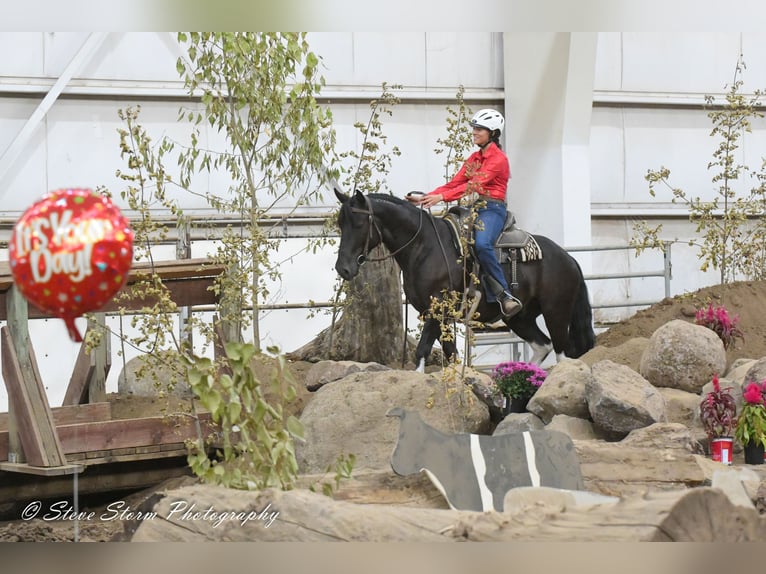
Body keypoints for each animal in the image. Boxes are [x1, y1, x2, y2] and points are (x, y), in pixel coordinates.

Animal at [332, 190, 596, 374]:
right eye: (340, 224)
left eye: (358, 224)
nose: (343, 268)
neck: (424, 246)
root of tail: (568, 258)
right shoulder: (439, 316)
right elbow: (451, 354)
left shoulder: (436, 307)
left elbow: (423, 349)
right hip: (519, 318)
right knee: (543, 345)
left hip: (556, 312)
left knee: (561, 352)